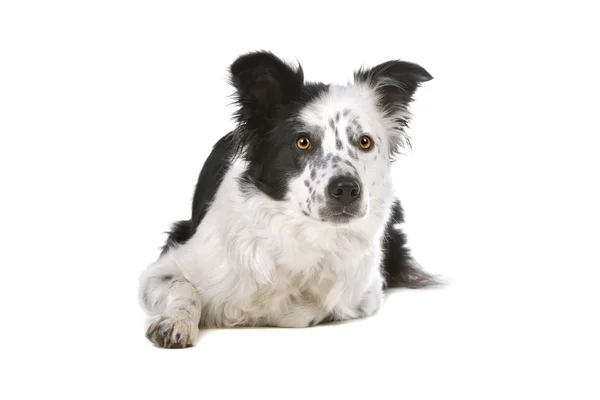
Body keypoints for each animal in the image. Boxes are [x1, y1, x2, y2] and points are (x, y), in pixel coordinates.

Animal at [139, 51, 438, 348]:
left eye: (365, 142)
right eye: (302, 142)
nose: (346, 189)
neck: (305, 235)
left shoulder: (365, 291)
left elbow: (308, 309)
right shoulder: (161, 270)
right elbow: (184, 289)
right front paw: (176, 322)